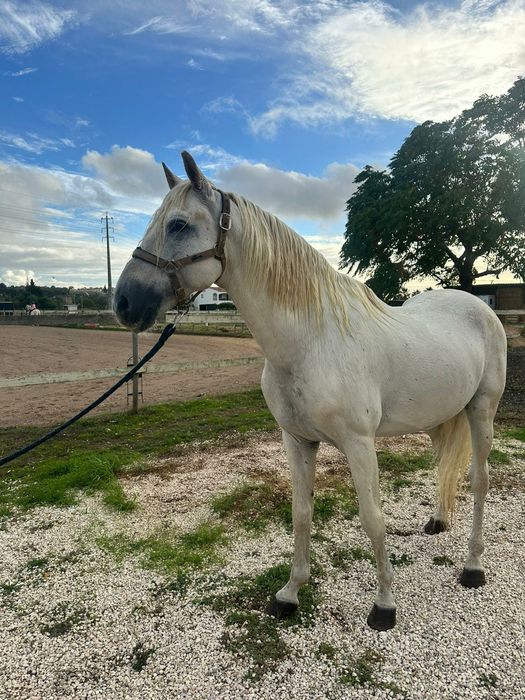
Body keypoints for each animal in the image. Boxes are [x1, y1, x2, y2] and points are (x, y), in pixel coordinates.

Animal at [114, 151, 507, 630]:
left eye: (178, 225)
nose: (124, 302)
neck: (312, 341)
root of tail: (478, 307)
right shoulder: (297, 441)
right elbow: (301, 515)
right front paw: (289, 594)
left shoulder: (359, 444)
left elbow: (372, 519)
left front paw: (384, 605)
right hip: (439, 414)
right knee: (444, 465)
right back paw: (438, 520)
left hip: (482, 411)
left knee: (480, 481)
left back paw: (473, 567)